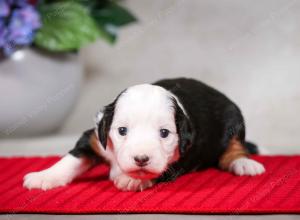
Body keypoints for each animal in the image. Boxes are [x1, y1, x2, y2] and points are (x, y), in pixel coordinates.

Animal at [24, 78, 268, 191]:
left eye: (164, 133)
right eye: (122, 131)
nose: (141, 159)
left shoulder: (177, 160)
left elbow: (156, 171)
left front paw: (132, 179)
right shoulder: (94, 138)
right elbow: (71, 159)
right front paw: (44, 176)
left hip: (234, 117)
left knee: (235, 148)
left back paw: (244, 164)